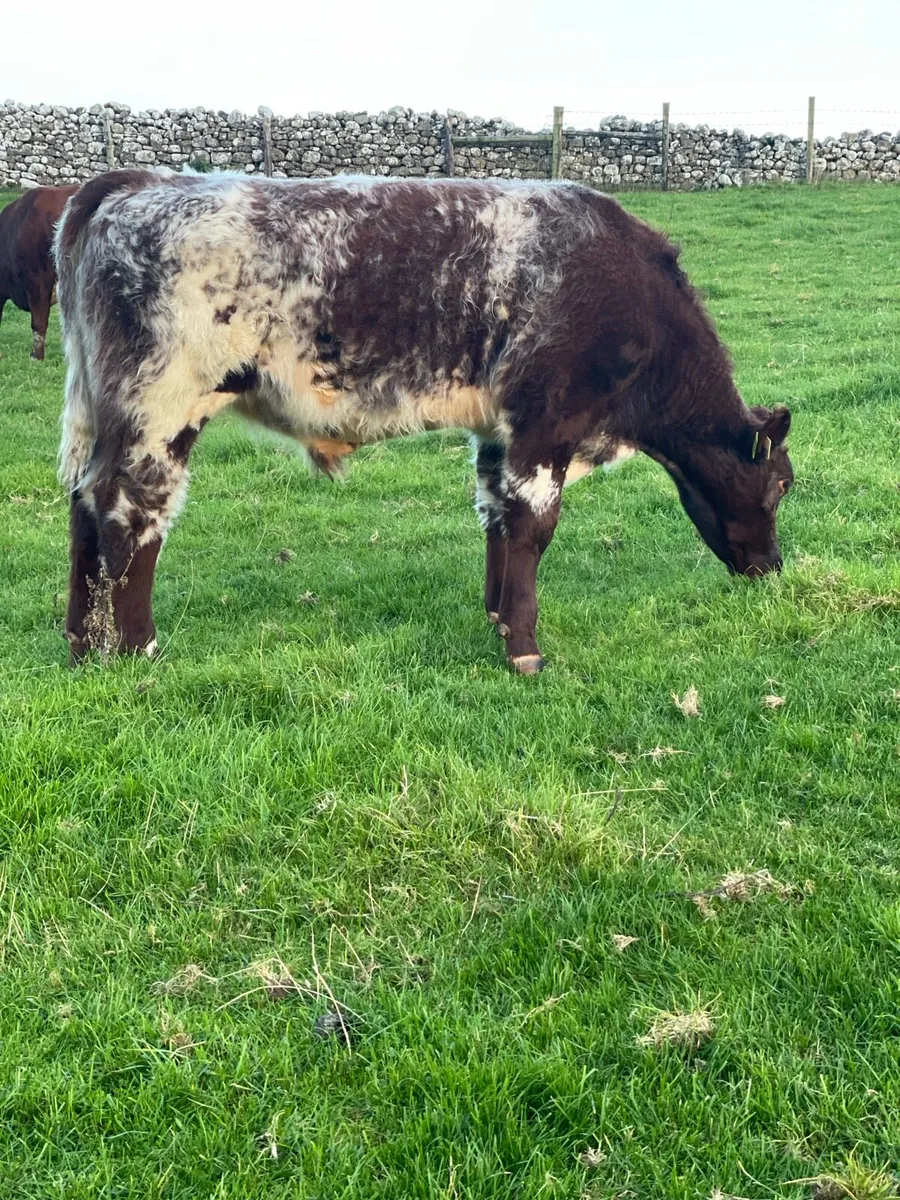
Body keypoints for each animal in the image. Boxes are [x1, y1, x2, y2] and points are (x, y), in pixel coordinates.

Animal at [54, 169, 793, 673]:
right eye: (781, 487)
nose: (773, 567)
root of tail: (138, 182)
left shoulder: (498, 432)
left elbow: (497, 519)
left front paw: (498, 619)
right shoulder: (546, 423)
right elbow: (534, 528)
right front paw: (525, 649)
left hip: (107, 412)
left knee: (84, 508)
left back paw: (82, 644)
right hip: (161, 408)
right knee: (129, 515)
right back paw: (139, 647)